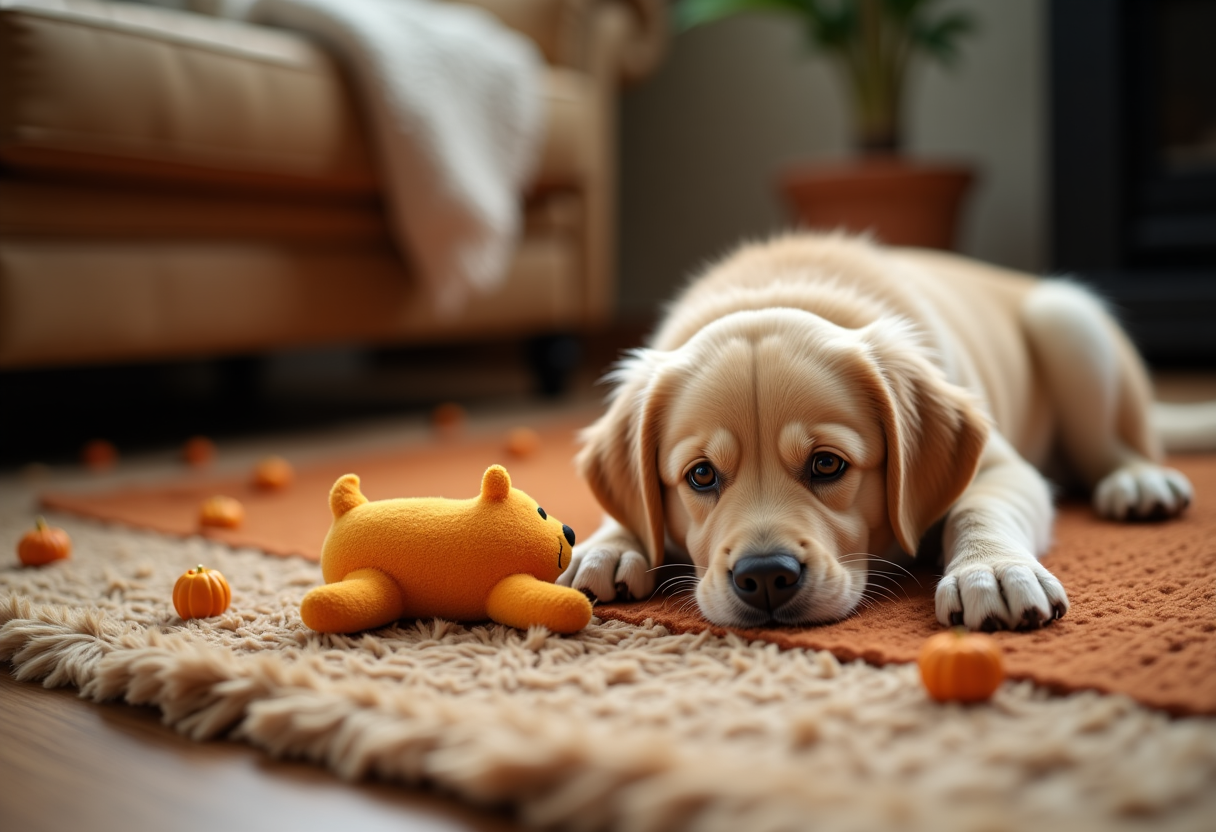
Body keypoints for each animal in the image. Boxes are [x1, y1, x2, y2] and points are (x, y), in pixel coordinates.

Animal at [556, 233, 1216, 632]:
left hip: (1068, 321)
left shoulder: (1005, 467)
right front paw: (605, 546)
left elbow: (978, 507)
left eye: (827, 464)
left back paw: (1136, 481)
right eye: (700, 475)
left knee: (1118, 444)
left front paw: (991, 570)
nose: (764, 577)